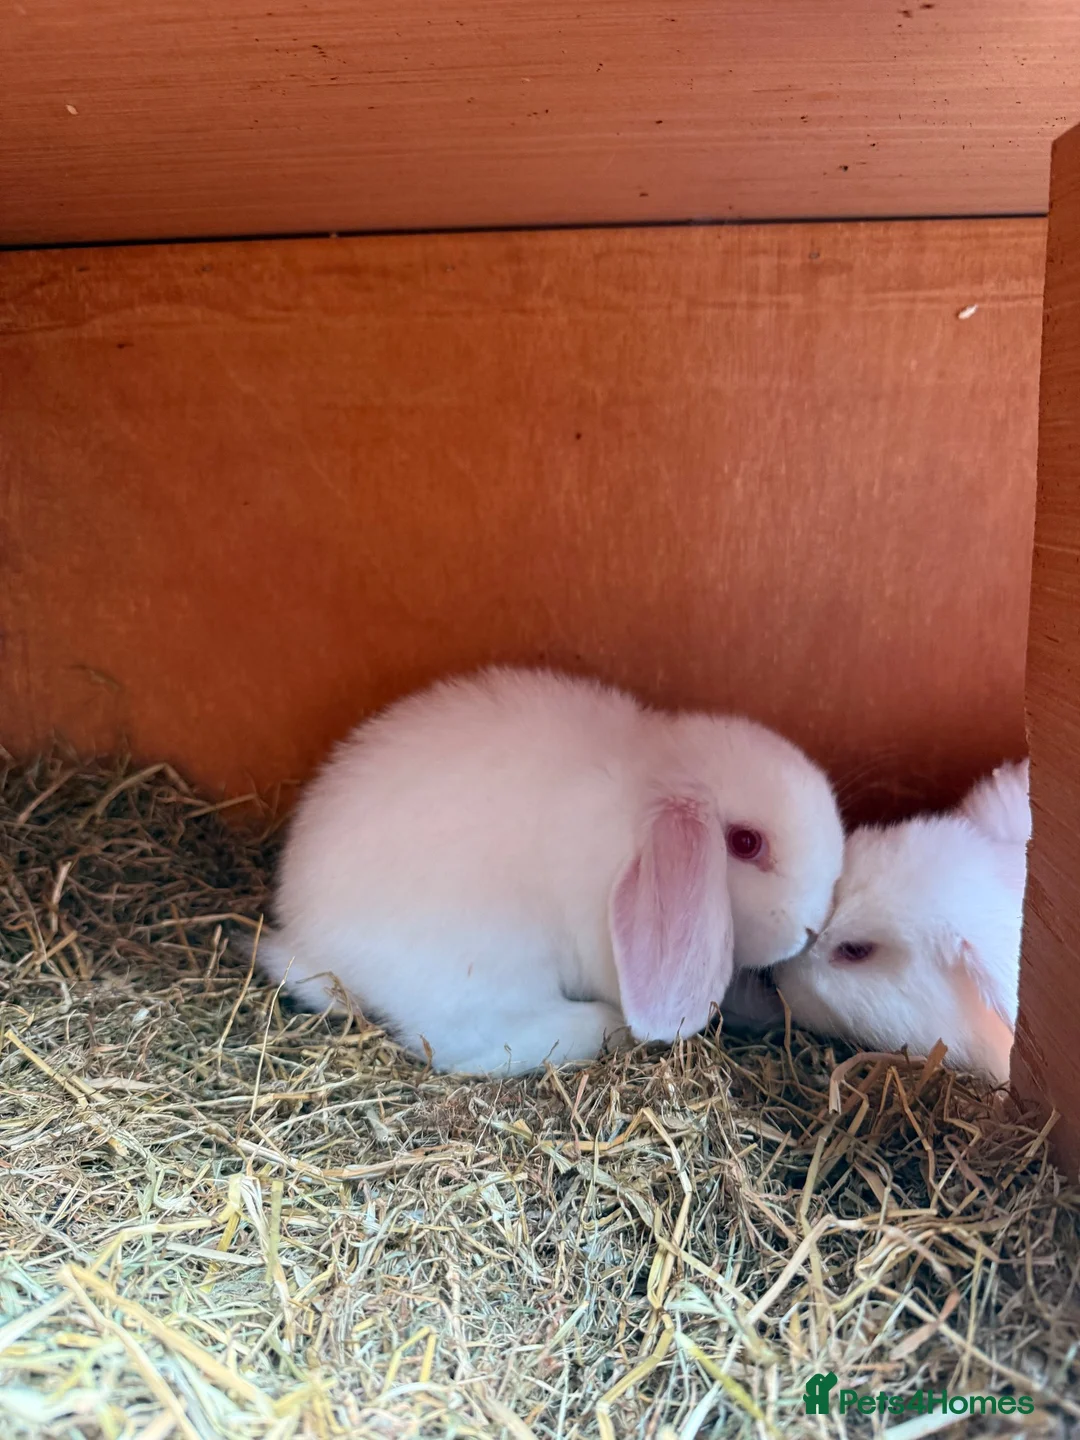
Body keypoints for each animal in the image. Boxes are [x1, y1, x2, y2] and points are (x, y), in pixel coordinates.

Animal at [257, 666, 845, 1075]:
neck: (637, 814)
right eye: (746, 843)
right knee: (463, 1046)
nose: (813, 928)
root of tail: (308, 941)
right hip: (488, 968)